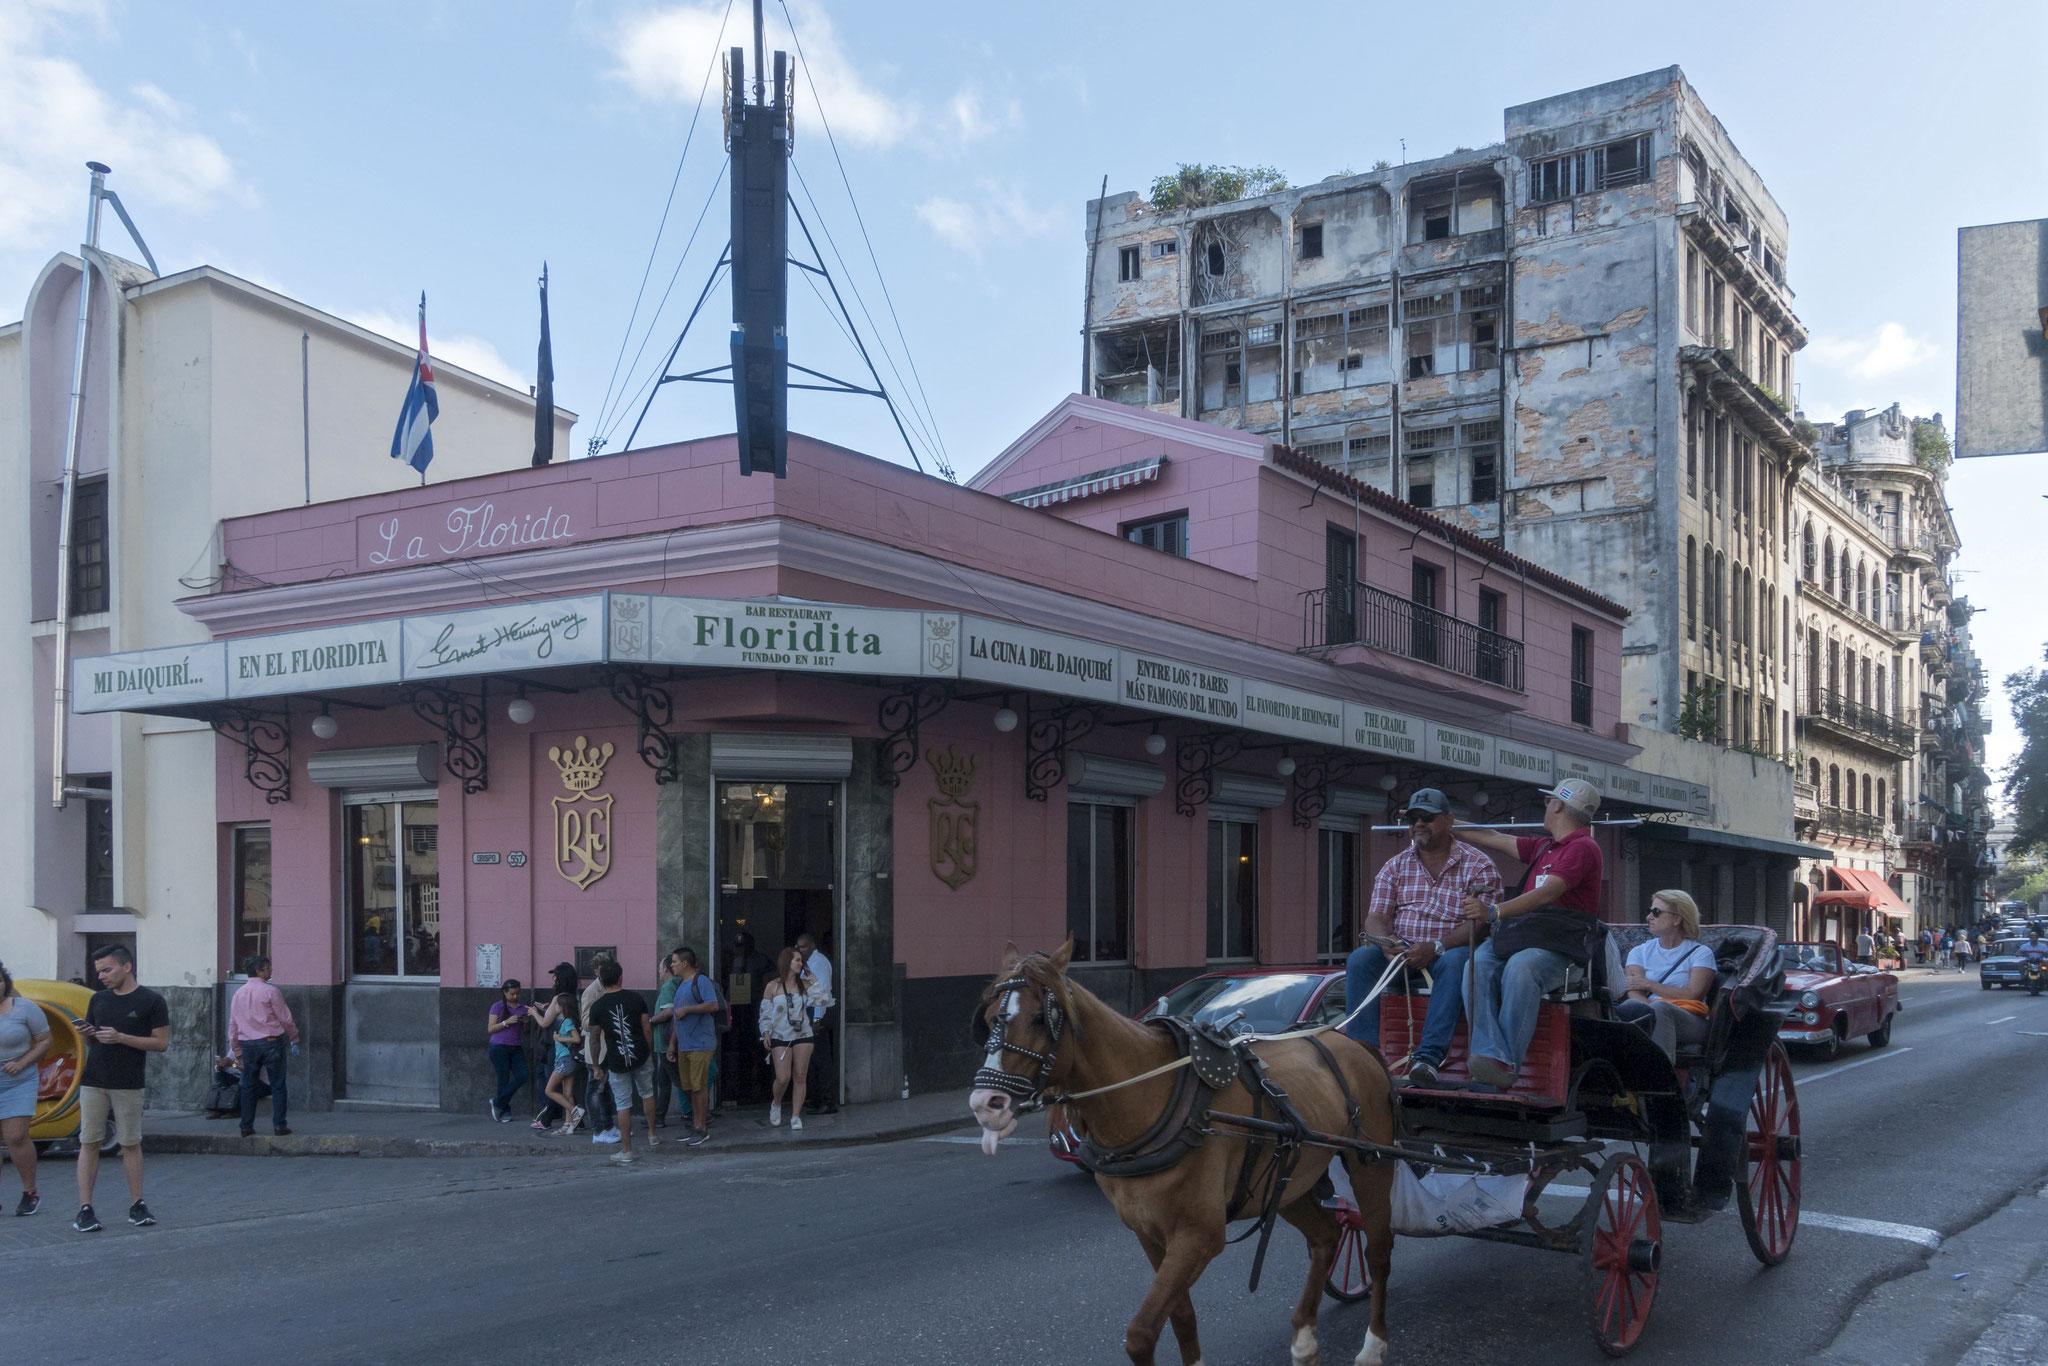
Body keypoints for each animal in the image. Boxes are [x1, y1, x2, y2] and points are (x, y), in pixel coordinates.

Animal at [966, 946, 1400, 1366]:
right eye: (987, 1018)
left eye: (1041, 1018)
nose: (985, 1104)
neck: (1153, 1099)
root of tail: (1356, 1045)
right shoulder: (1149, 1233)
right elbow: (1181, 1317)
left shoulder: (1199, 1236)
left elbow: (1141, 1334)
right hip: (1286, 1182)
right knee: (1326, 1236)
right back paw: (1305, 1342)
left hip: (1371, 1163)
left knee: (1378, 1250)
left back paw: (1374, 1345)